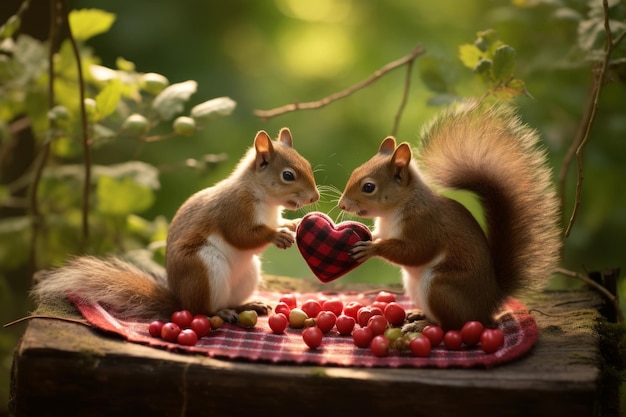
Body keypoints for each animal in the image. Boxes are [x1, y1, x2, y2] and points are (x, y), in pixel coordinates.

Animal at [32, 128, 320, 320]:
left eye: (307, 164)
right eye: (288, 175)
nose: (315, 197)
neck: (264, 199)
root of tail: (180, 301)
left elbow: (279, 222)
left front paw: (292, 225)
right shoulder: (233, 210)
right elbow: (241, 236)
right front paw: (277, 235)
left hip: (248, 274)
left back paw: (248, 306)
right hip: (204, 268)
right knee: (203, 310)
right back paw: (223, 313)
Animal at [336, 99, 560, 330]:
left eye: (368, 187)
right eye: (355, 171)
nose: (341, 205)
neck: (392, 211)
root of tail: (488, 304)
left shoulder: (424, 224)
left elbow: (415, 251)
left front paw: (371, 248)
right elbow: (385, 238)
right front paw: (371, 239)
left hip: (440, 287)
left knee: (452, 324)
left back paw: (422, 325)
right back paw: (418, 315)